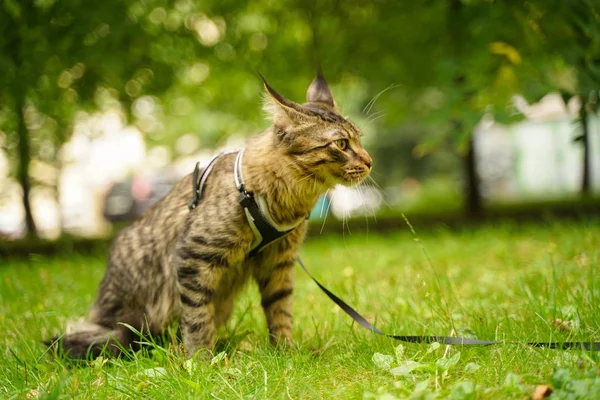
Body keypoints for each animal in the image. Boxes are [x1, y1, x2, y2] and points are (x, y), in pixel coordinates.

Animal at [48, 69, 370, 360]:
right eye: (342, 144)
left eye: (360, 140)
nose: (369, 161)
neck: (288, 200)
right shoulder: (194, 257)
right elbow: (197, 318)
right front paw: (201, 360)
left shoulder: (278, 262)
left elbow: (280, 310)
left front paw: (285, 351)